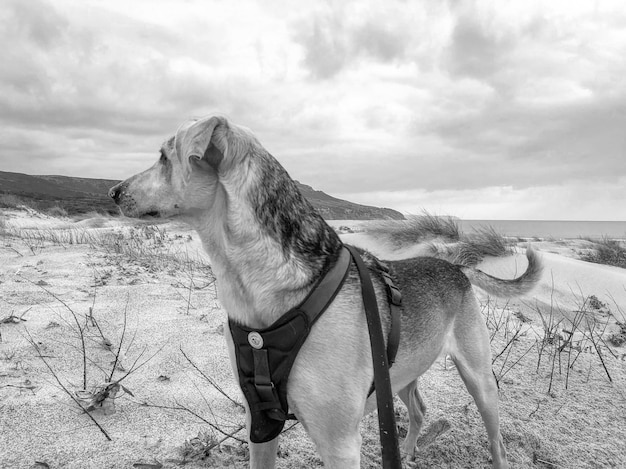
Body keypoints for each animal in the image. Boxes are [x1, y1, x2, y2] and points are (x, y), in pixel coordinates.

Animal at [111, 114, 540, 468]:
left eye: (163, 158)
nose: (114, 191)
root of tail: (455, 266)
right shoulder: (260, 423)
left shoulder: (339, 444)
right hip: (402, 375)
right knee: (418, 410)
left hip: (479, 379)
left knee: (496, 441)